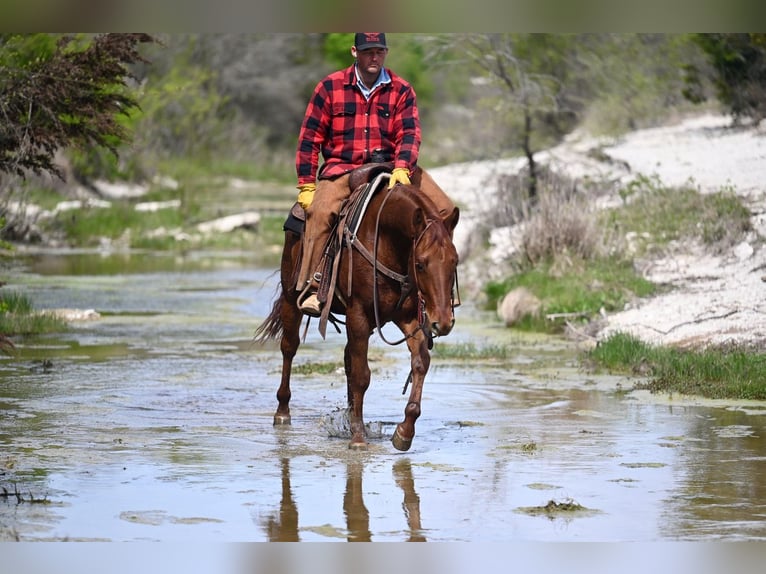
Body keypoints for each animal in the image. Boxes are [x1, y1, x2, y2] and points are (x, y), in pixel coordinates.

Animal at [255, 163, 460, 451]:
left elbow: (420, 363)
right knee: (289, 347)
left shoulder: (407, 317)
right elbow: (363, 375)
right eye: (420, 264)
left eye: (455, 261)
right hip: (290, 296)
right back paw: (282, 412)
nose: (443, 321)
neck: (385, 240)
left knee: (347, 359)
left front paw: (404, 432)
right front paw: (359, 437)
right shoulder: (359, 314)